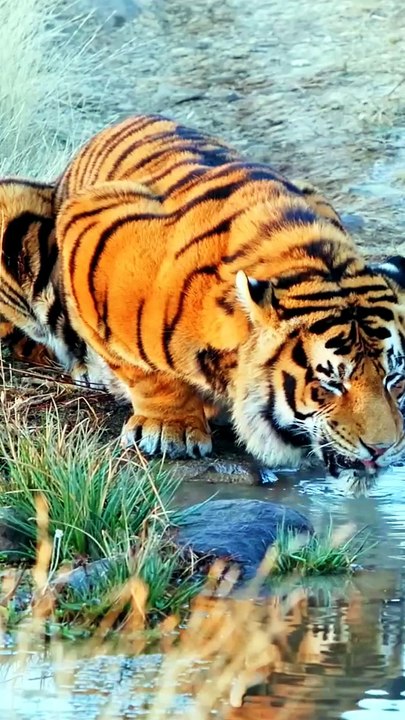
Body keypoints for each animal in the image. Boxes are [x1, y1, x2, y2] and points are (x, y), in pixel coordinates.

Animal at [45, 113, 405, 476]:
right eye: (331, 383)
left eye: (393, 378)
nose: (382, 449)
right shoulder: (93, 223)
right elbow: (144, 372)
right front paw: (169, 429)